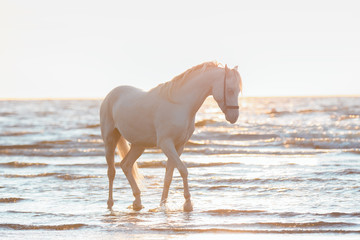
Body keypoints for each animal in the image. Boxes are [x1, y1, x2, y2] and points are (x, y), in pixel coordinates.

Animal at [100, 62, 243, 212]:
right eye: (230, 90)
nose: (234, 117)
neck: (180, 104)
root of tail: (111, 94)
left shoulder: (179, 146)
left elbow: (169, 175)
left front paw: (163, 205)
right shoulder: (166, 144)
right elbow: (183, 170)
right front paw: (187, 204)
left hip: (139, 145)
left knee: (126, 165)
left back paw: (137, 201)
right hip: (110, 140)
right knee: (111, 171)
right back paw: (110, 203)